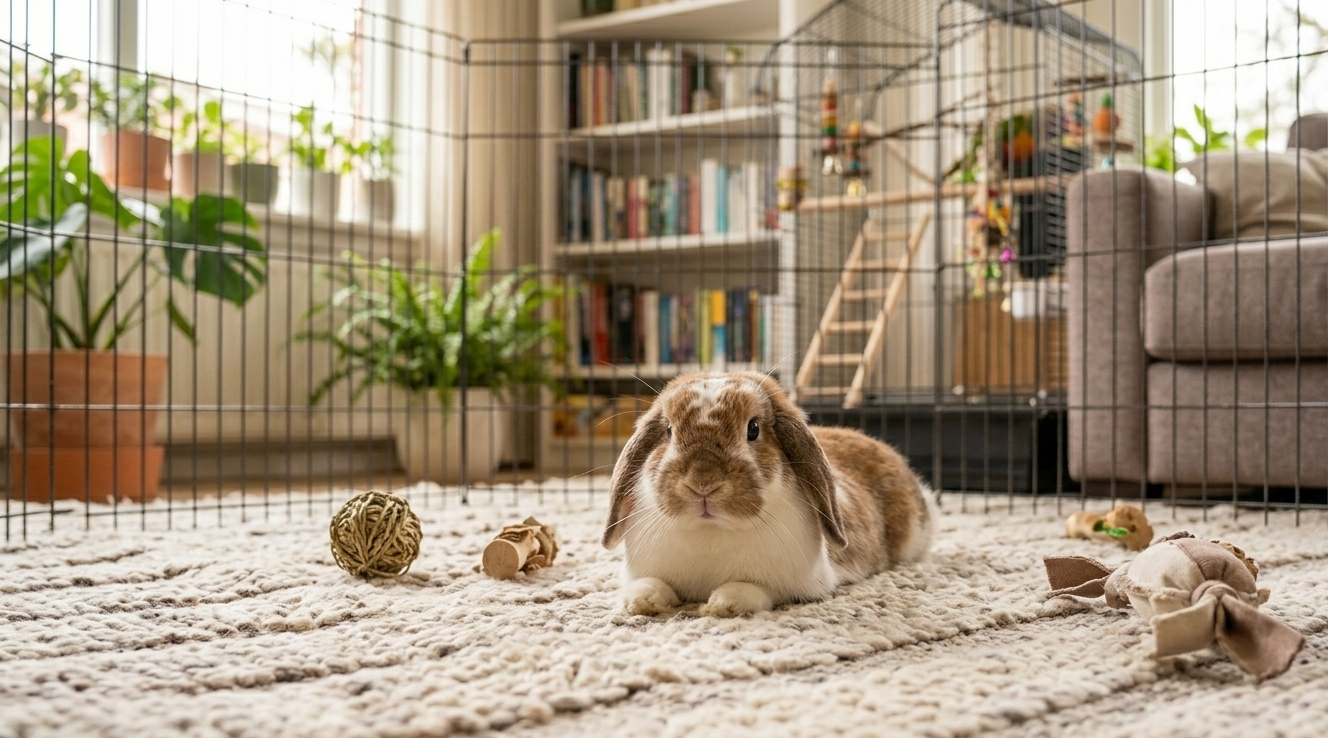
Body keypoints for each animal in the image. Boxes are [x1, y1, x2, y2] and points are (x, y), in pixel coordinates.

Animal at [603, 371, 937, 617]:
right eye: (669, 431)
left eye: (753, 429)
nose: (703, 483)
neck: (711, 531)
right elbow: (650, 583)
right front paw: (640, 601)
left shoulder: (794, 584)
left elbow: (752, 589)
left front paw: (723, 604)